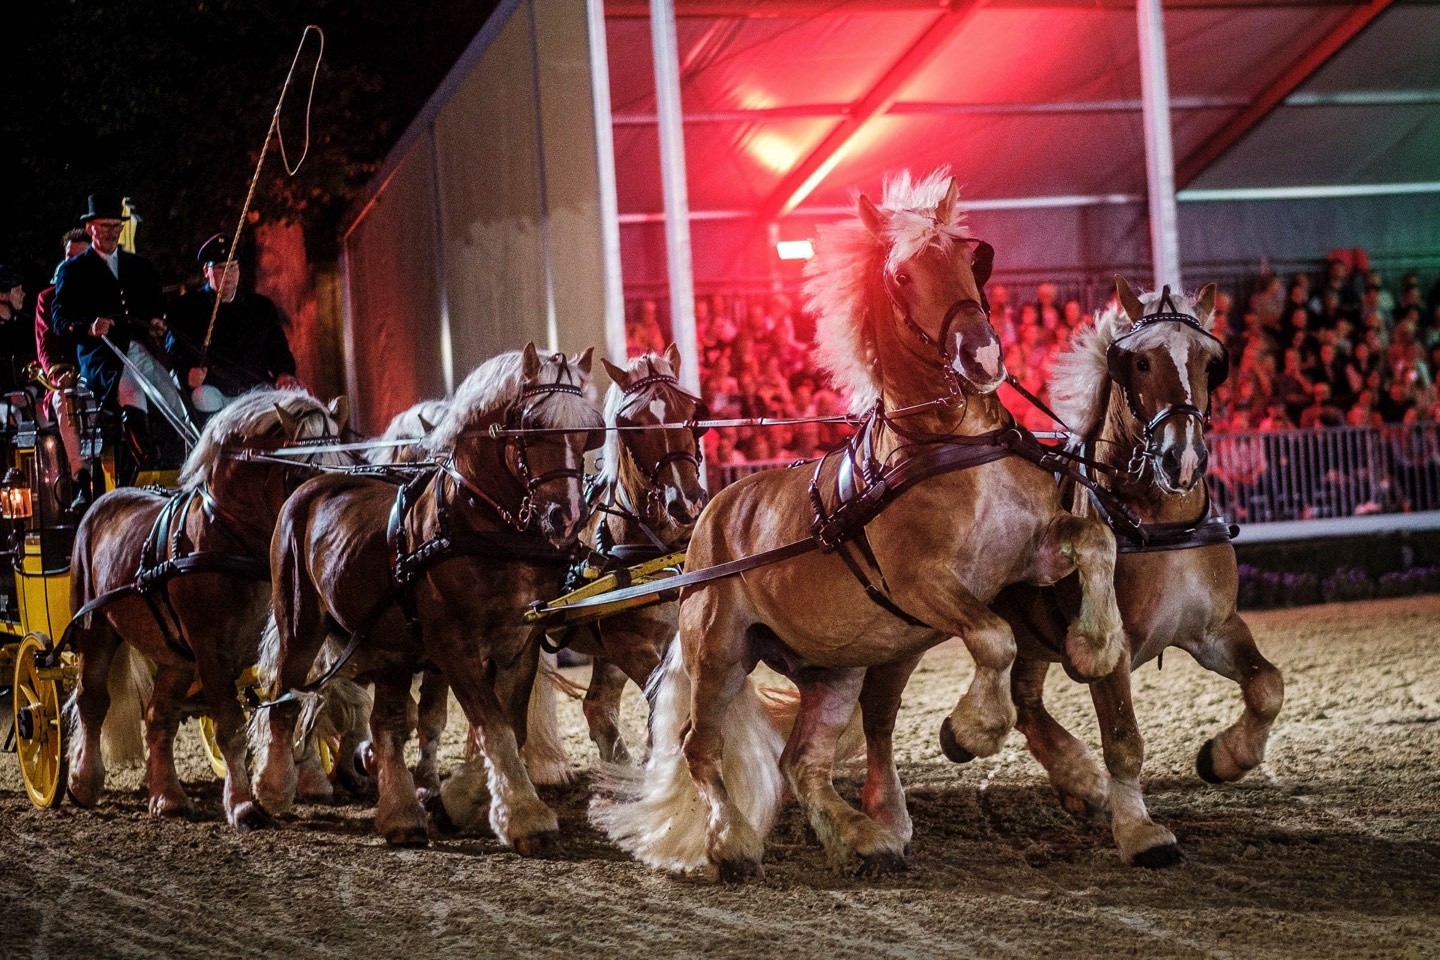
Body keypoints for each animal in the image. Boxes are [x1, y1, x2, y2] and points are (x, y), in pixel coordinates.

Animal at [64, 385, 351, 829]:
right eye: (301, 473)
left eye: (346, 462)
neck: (227, 539)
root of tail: (101, 502)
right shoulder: (211, 650)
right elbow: (230, 724)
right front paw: (243, 803)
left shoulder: (281, 639)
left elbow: (297, 701)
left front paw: (296, 781)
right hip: (96, 631)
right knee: (91, 701)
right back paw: (82, 781)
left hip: (176, 658)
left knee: (158, 716)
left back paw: (167, 797)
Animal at [253, 343, 601, 846]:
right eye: (532, 425)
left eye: (589, 430)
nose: (567, 515)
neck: (483, 527)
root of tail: (310, 485)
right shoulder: (453, 646)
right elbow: (493, 727)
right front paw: (524, 816)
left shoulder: (521, 642)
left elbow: (509, 726)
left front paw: (456, 803)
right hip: (300, 627)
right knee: (285, 698)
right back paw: (271, 790)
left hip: (391, 647)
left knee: (386, 724)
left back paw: (399, 814)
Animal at [593, 170, 1123, 880]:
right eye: (901, 275)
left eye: (972, 258)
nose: (983, 355)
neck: (952, 444)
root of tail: (709, 518)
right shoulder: (925, 585)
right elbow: (994, 640)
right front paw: (969, 731)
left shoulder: (1028, 556)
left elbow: (1096, 540)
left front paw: (1096, 647)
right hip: (720, 651)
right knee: (698, 746)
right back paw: (732, 843)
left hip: (833, 668)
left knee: (801, 759)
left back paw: (861, 837)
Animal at [990, 276, 1284, 863]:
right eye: (1140, 363)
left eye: (1211, 362)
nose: (1183, 458)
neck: (1160, 525)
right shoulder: (1112, 648)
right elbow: (1124, 739)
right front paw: (1140, 832)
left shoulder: (1214, 629)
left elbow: (1267, 686)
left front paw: (1225, 757)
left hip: (1031, 631)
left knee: (1026, 702)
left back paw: (1074, 781)